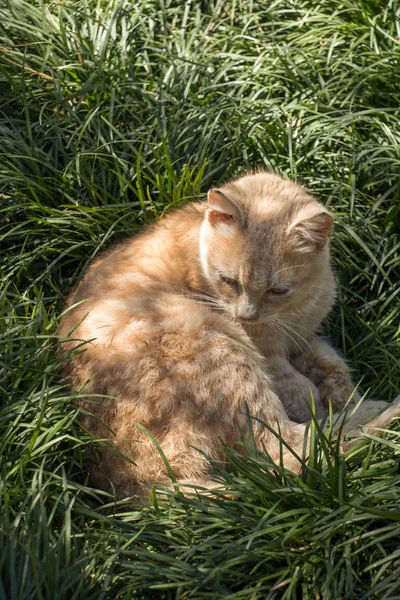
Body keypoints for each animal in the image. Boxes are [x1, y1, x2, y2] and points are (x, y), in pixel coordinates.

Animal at [58, 170, 400, 496]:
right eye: (230, 281)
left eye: (278, 290)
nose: (245, 315)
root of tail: (137, 486)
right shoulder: (266, 350)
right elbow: (293, 382)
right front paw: (316, 397)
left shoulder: (306, 338)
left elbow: (334, 367)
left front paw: (343, 394)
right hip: (218, 344)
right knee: (295, 451)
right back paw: (385, 414)